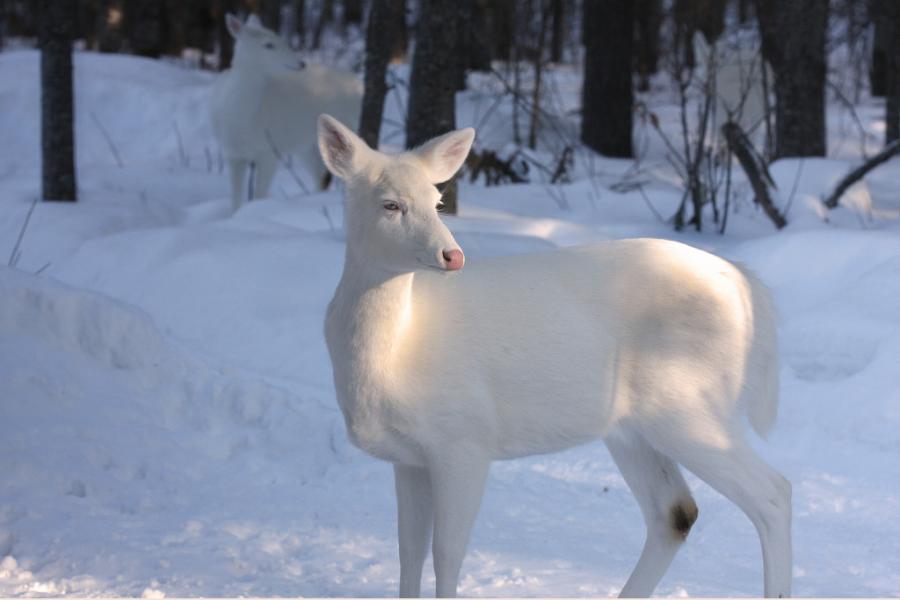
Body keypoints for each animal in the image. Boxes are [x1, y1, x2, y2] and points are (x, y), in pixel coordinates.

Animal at [211, 14, 362, 213]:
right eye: (268, 45)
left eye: (281, 38)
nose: (301, 63)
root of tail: (359, 84)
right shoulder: (233, 153)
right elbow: (235, 199)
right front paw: (235, 215)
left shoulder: (270, 150)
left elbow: (259, 194)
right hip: (307, 145)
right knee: (319, 175)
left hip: (348, 126)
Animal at [318, 113, 796, 600]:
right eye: (390, 204)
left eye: (437, 201)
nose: (452, 255)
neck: (398, 352)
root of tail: (747, 287)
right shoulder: (409, 457)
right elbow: (408, 553)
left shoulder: (465, 439)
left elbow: (447, 555)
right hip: (631, 427)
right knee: (676, 512)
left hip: (689, 403)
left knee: (773, 493)